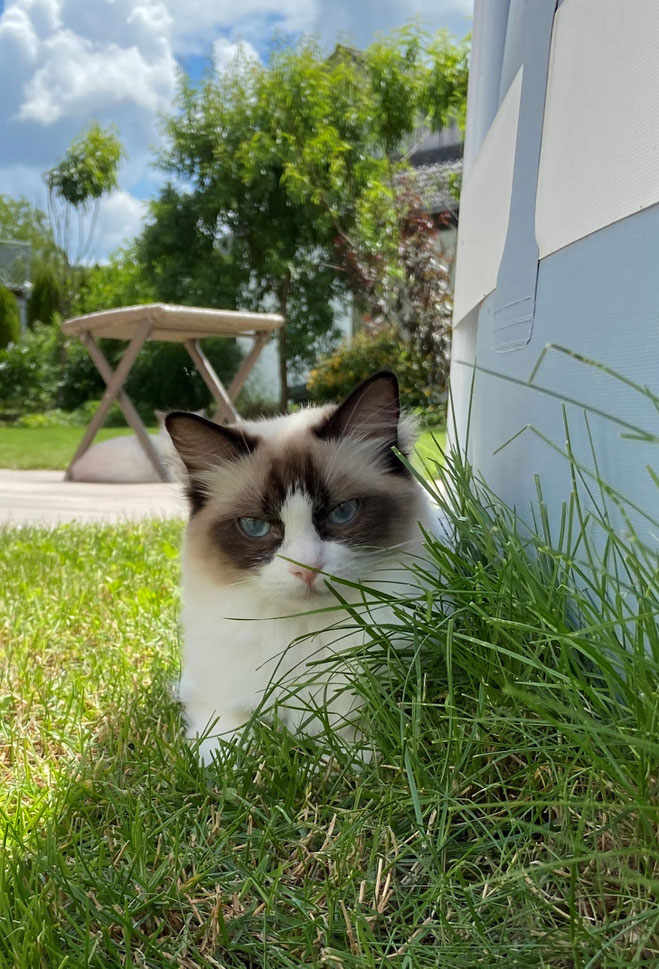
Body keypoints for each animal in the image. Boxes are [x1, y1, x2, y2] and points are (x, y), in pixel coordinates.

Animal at [168, 374, 440, 760]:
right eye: (255, 526)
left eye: (343, 512)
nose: (305, 568)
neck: (304, 633)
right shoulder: (213, 692)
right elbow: (223, 735)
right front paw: (223, 763)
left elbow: (351, 742)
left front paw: (341, 759)